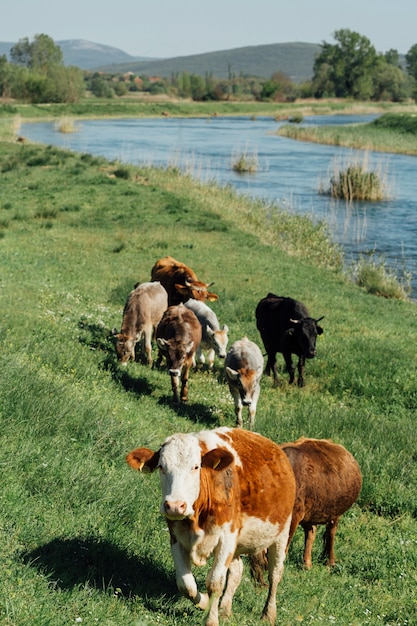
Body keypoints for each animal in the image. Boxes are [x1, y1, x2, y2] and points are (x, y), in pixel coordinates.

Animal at [127, 426, 296, 620]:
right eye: (161, 467)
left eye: (196, 466)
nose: (175, 506)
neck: (197, 519)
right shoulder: (176, 538)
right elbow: (186, 584)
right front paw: (205, 603)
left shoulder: (226, 539)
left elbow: (215, 582)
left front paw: (211, 620)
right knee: (236, 571)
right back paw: (225, 609)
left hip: (282, 534)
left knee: (275, 574)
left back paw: (268, 614)